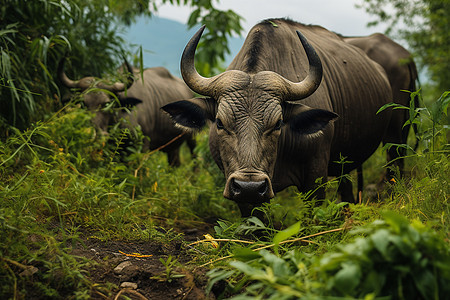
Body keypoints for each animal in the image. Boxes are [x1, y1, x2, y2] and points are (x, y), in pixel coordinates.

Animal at [58, 57, 195, 165]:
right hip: (173, 146)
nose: (95, 133)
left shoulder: (142, 146)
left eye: (106, 103)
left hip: (192, 138)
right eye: (83, 104)